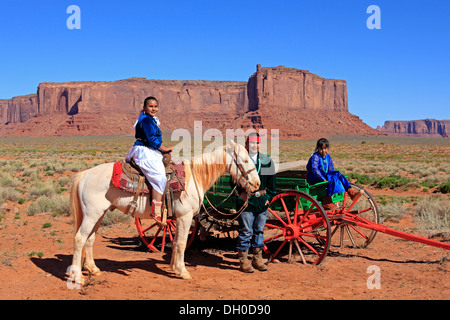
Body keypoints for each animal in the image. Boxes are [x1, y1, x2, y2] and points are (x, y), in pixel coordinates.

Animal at [68, 140, 262, 282]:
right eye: (245, 160)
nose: (257, 183)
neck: (195, 176)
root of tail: (83, 174)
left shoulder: (177, 219)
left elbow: (175, 242)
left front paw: (174, 268)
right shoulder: (184, 217)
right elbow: (182, 243)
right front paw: (183, 271)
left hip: (98, 214)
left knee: (90, 239)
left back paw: (93, 269)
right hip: (91, 215)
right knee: (79, 238)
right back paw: (77, 276)